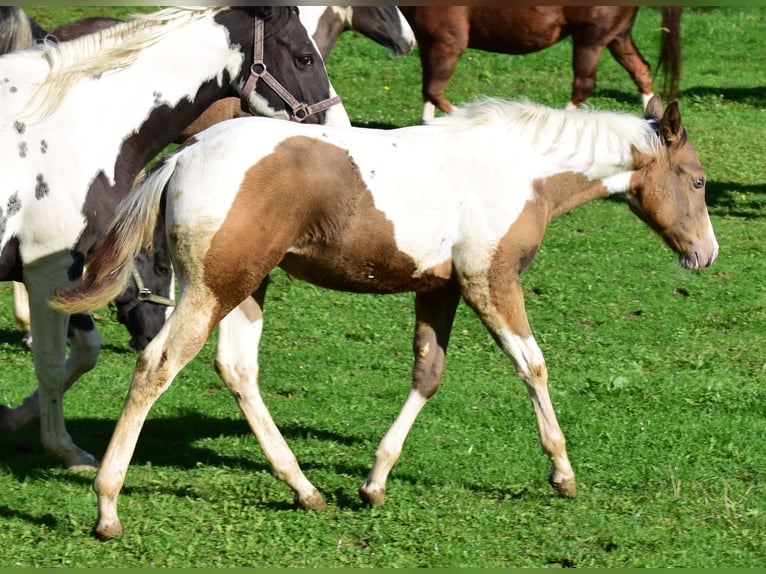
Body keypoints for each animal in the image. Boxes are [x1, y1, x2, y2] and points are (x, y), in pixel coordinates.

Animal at [0, 5, 342, 472]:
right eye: (305, 57)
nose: (337, 127)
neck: (67, 127)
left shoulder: (61, 276)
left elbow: (85, 349)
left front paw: (16, 420)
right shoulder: (48, 270)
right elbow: (52, 365)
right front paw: (62, 447)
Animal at [55, 94, 720, 540]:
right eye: (697, 181)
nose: (706, 254)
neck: (520, 168)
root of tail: (187, 154)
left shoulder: (440, 288)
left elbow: (428, 374)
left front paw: (373, 482)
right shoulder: (490, 281)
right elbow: (532, 365)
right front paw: (562, 472)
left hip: (245, 287)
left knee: (236, 369)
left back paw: (305, 489)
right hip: (217, 286)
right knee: (158, 364)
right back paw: (107, 507)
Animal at [402, 6, 684, 121]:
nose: (405, 44)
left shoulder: (448, 43)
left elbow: (433, 90)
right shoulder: (429, 43)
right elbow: (428, 88)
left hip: (590, 39)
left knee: (584, 84)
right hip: (617, 37)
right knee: (641, 69)